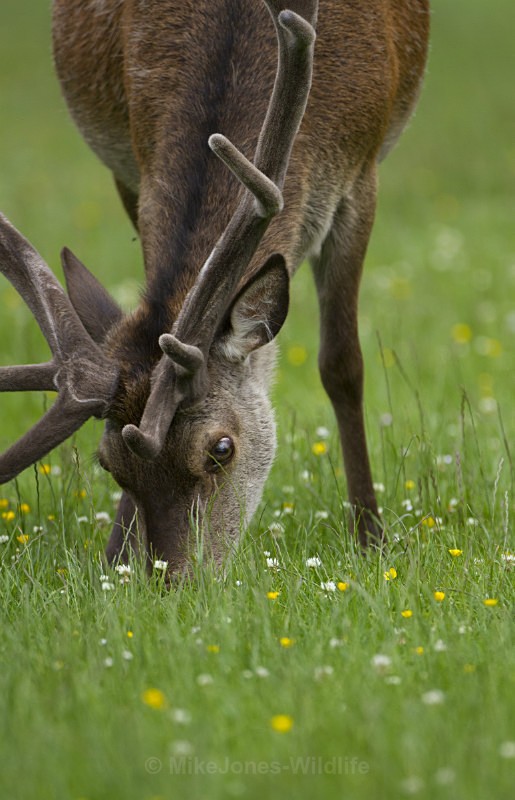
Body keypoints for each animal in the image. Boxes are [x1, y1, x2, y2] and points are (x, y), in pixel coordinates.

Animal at [0, 0, 430, 575]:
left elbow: (342, 365)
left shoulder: (359, 179)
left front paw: (371, 541)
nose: (175, 583)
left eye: (220, 449)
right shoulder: (133, 170)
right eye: (109, 465)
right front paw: (117, 556)